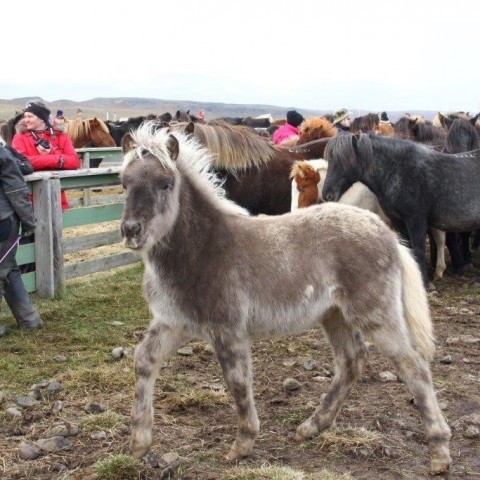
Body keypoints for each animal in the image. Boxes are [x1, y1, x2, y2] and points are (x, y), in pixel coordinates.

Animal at [119, 122, 450, 474]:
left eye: (166, 184)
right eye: (124, 184)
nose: (131, 231)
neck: (202, 248)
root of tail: (388, 235)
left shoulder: (227, 329)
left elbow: (237, 382)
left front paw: (243, 444)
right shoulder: (173, 322)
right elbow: (144, 361)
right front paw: (139, 443)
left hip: (377, 315)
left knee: (414, 366)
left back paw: (439, 451)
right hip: (334, 315)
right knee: (352, 361)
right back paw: (311, 427)